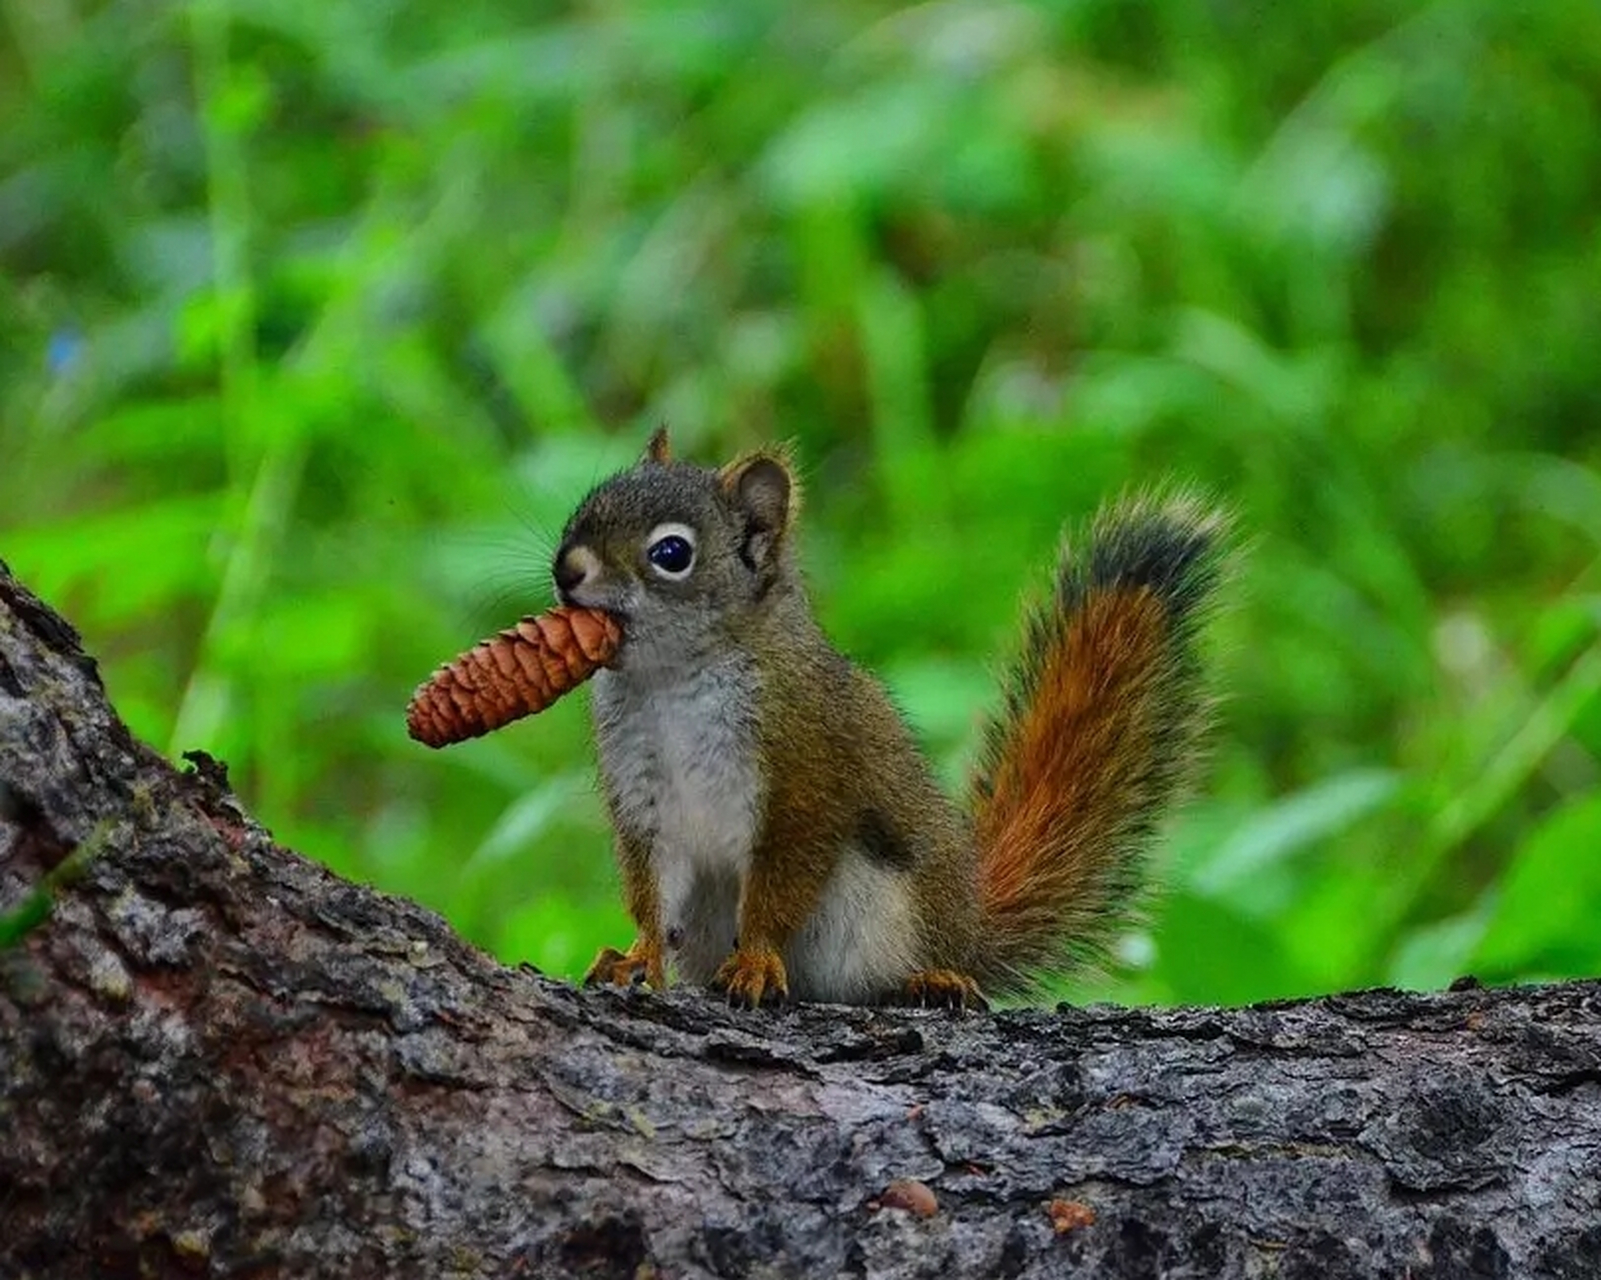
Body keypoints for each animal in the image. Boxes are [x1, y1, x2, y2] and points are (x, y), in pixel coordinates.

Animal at [557, 428, 1229, 1011]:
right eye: (585, 506)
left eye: (671, 553)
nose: (567, 570)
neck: (670, 681)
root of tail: (970, 933)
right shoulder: (642, 797)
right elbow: (652, 894)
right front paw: (637, 957)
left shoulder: (803, 770)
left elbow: (779, 885)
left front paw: (755, 961)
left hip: (891, 915)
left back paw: (931, 979)